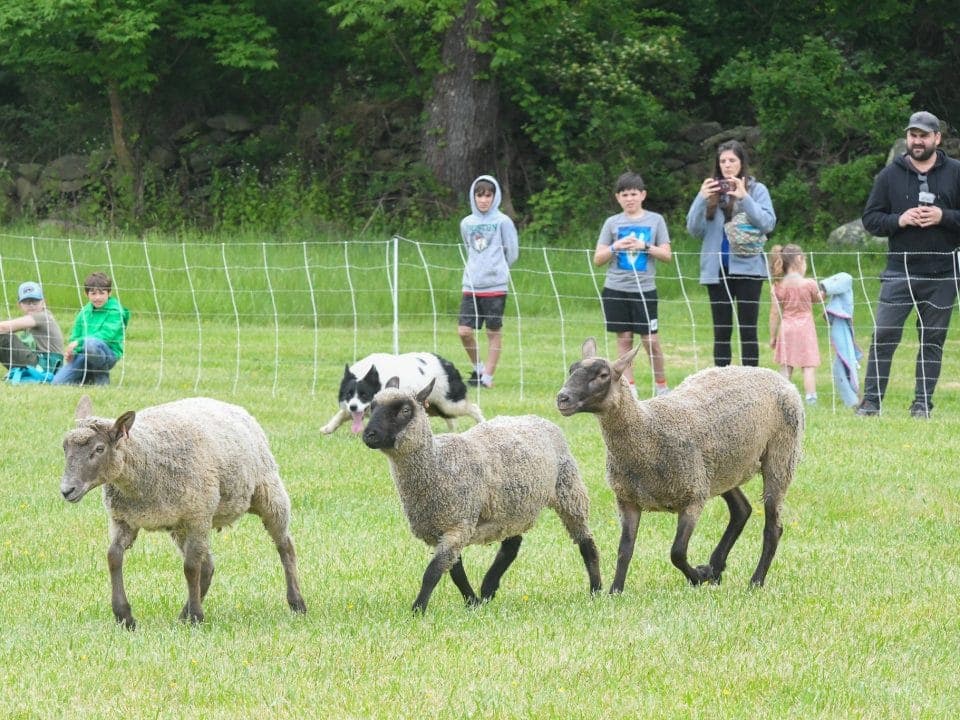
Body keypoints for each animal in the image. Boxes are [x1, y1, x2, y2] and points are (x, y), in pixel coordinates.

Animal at [60, 395, 307, 628]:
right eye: (64, 448)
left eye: (99, 449)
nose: (66, 490)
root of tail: (231, 405)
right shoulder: (123, 520)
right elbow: (113, 557)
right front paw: (124, 616)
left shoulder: (198, 515)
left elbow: (190, 568)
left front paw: (197, 617)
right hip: (180, 525)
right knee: (208, 566)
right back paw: (183, 614)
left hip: (267, 491)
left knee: (285, 546)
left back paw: (297, 603)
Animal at [362, 376, 602, 613]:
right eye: (372, 407)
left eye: (404, 410)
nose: (368, 435)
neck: (438, 464)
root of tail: (539, 418)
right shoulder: (447, 528)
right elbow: (456, 572)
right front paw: (472, 602)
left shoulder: (458, 524)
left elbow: (433, 572)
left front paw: (418, 609)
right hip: (512, 506)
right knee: (512, 545)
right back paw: (488, 589)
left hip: (568, 489)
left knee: (586, 541)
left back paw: (596, 590)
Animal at [556, 338, 803, 592]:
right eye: (571, 369)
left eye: (603, 375)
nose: (562, 398)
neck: (647, 428)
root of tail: (773, 375)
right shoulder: (628, 500)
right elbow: (624, 550)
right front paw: (616, 590)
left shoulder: (692, 499)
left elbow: (677, 553)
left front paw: (698, 577)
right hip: (718, 470)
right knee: (741, 509)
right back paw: (716, 567)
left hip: (780, 455)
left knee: (773, 527)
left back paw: (755, 580)